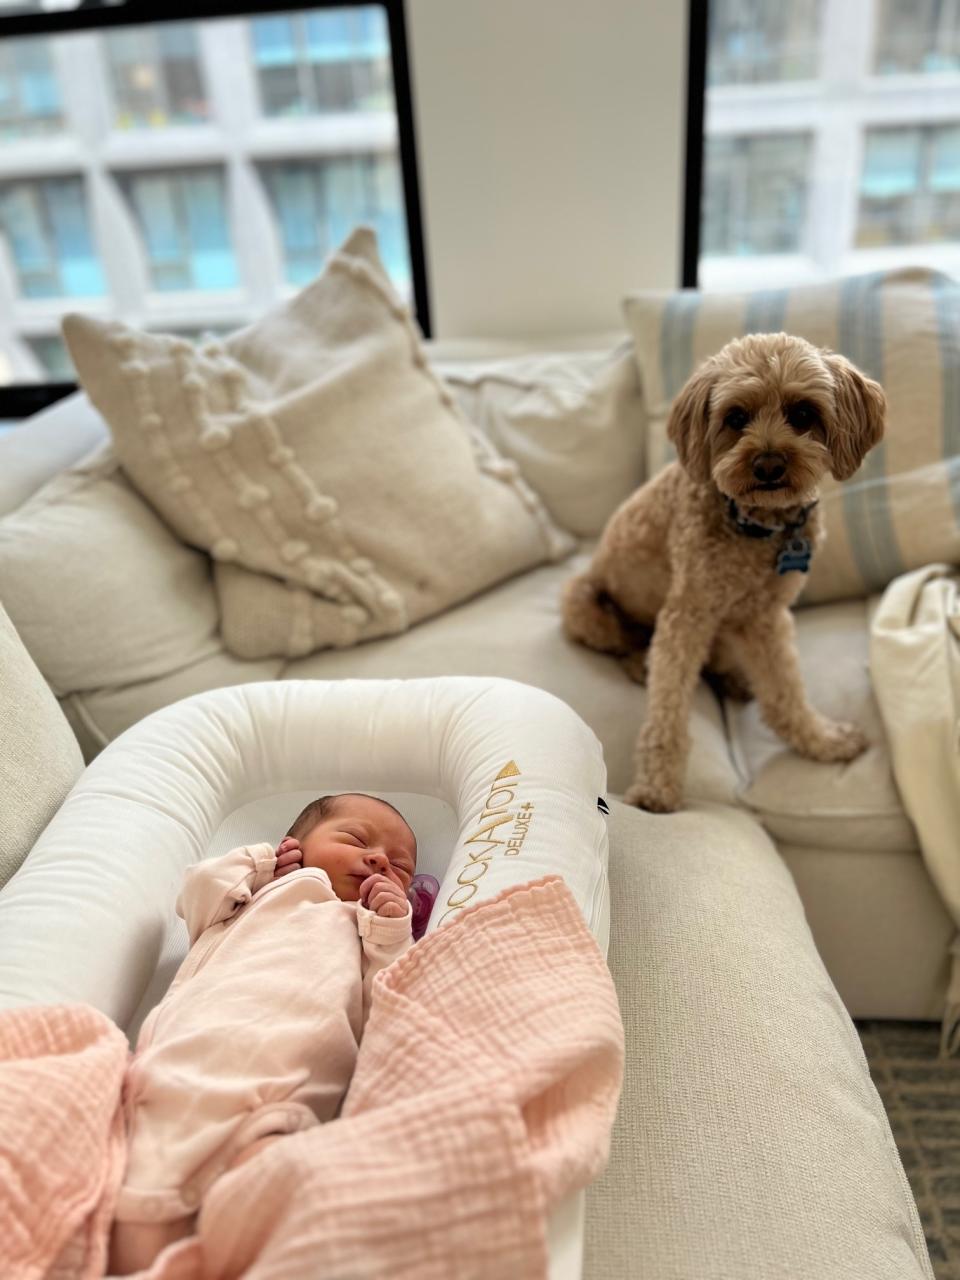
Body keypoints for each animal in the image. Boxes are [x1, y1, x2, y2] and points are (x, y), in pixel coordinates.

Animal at [563, 330, 885, 808]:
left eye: (803, 413)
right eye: (736, 417)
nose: (768, 465)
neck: (756, 527)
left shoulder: (766, 616)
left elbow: (785, 691)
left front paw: (823, 740)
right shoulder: (685, 616)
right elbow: (668, 710)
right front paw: (657, 789)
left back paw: (734, 679)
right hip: (584, 606)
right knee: (627, 643)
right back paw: (641, 664)